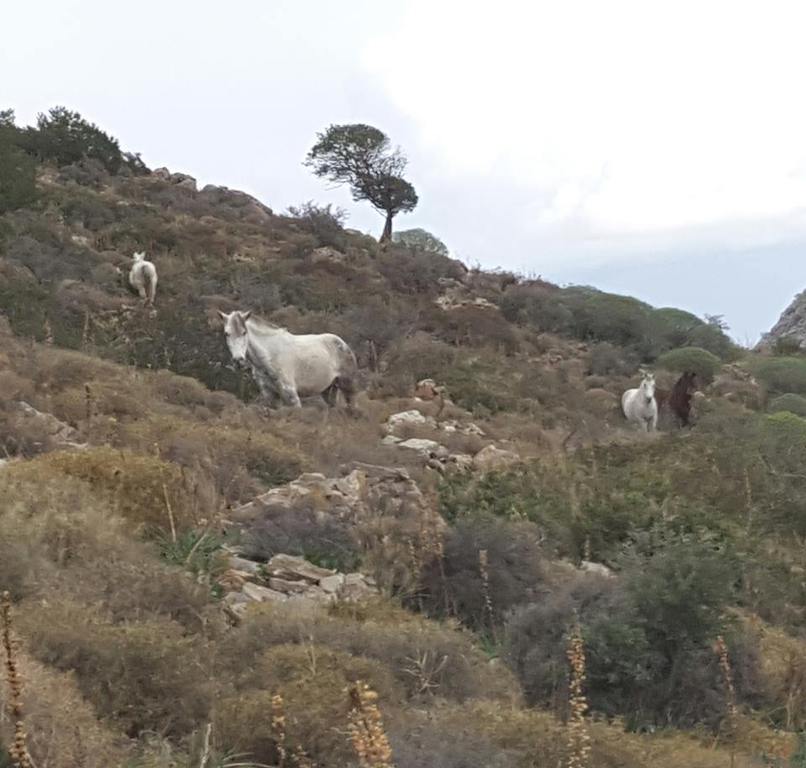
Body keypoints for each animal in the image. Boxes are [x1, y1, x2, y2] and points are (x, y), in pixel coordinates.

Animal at [218, 310, 358, 410]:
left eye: (244, 332)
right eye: (226, 334)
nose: (238, 361)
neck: (270, 355)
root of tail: (343, 344)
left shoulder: (291, 396)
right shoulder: (269, 395)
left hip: (347, 385)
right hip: (328, 389)